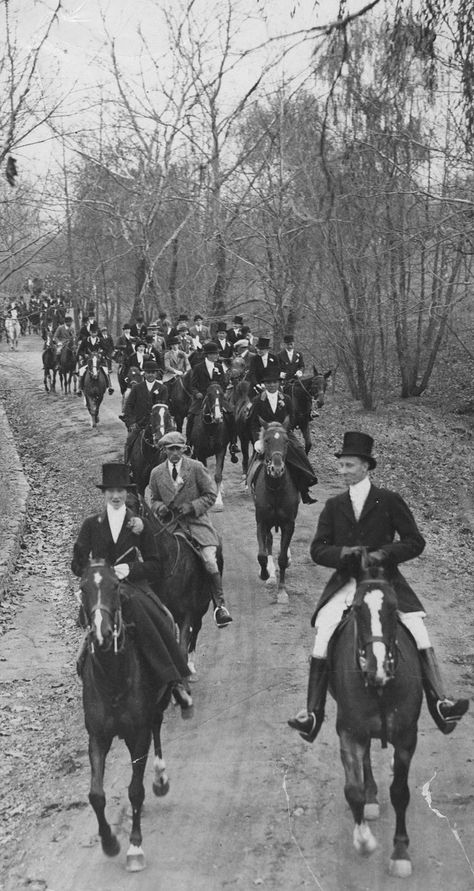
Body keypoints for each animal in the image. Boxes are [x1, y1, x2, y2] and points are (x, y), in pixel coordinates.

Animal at [78, 560, 173, 876]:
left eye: (116, 586)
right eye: (83, 588)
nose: (101, 634)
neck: (112, 676)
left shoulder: (138, 735)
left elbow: (135, 791)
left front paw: (134, 847)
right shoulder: (97, 737)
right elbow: (96, 794)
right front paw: (109, 842)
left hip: (159, 702)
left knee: (157, 728)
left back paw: (160, 777)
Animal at [250, 422, 298, 604]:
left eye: (286, 441)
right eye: (267, 440)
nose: (276, 468)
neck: (276, 489)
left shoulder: (289, 523)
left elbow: (283, 559)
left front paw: (282, 592)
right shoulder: (262, 522)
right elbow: (262, 555)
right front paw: (265, 574)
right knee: (269, 540)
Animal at [330, 552, 422, 880]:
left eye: (393, 607)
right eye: (357, 609)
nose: (377, 668)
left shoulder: (407, 736)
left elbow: (400, 793)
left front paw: (401, 853)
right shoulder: (349, 731)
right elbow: (353, 789)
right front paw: (364, 841)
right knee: (367, 758)